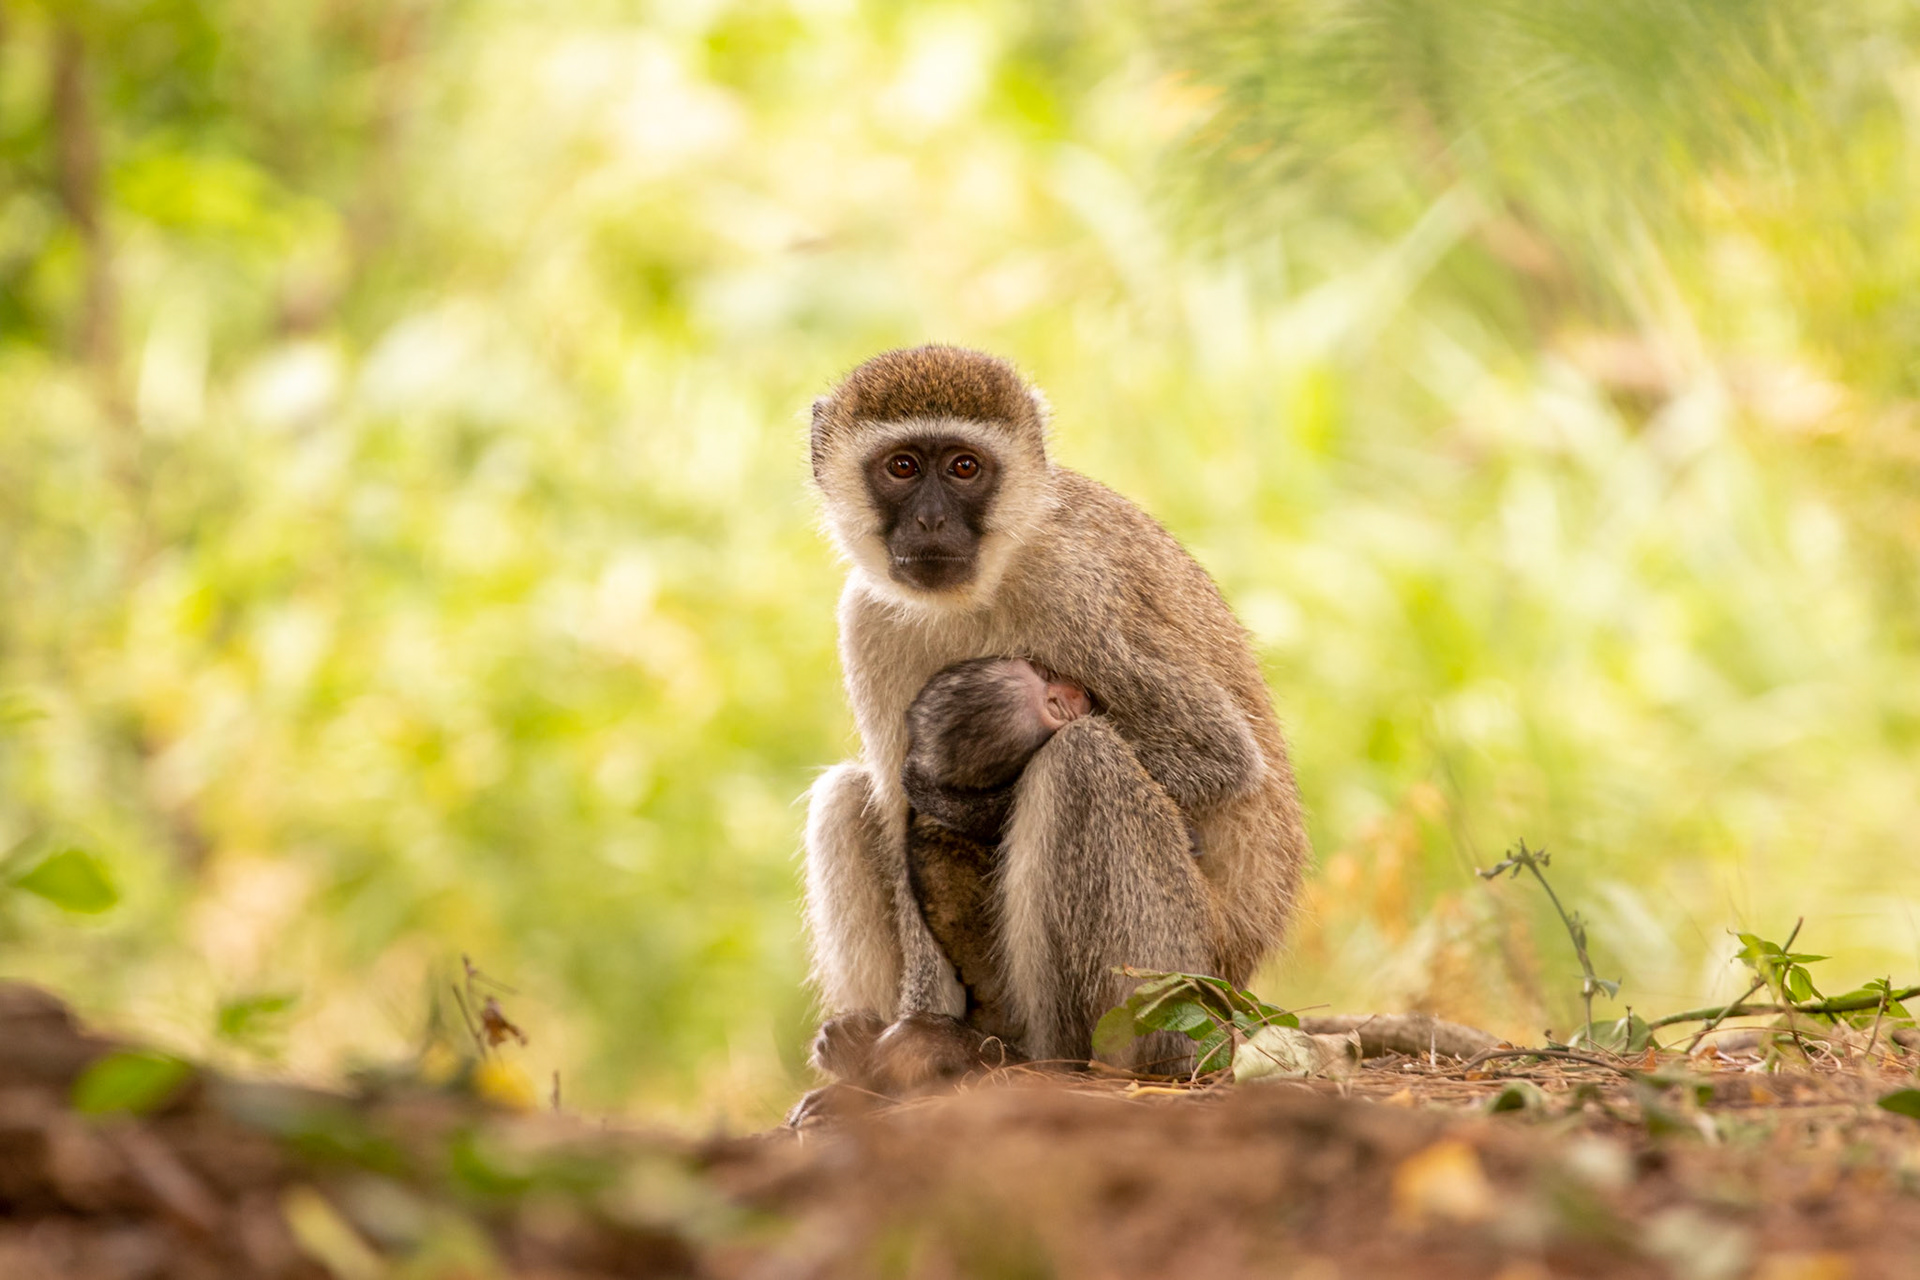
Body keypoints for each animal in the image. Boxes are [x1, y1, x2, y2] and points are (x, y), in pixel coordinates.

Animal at [794, 345, 1308, 1117]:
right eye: (903, 467)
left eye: (964, 467)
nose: (931, 524)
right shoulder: (866, 620)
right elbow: (894, 811)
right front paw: (914, 1040)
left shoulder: (1074, 590)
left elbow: (1219, 755)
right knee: (847, 795)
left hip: (1186, 981)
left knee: (1083, 758)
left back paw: (1050, 1059)